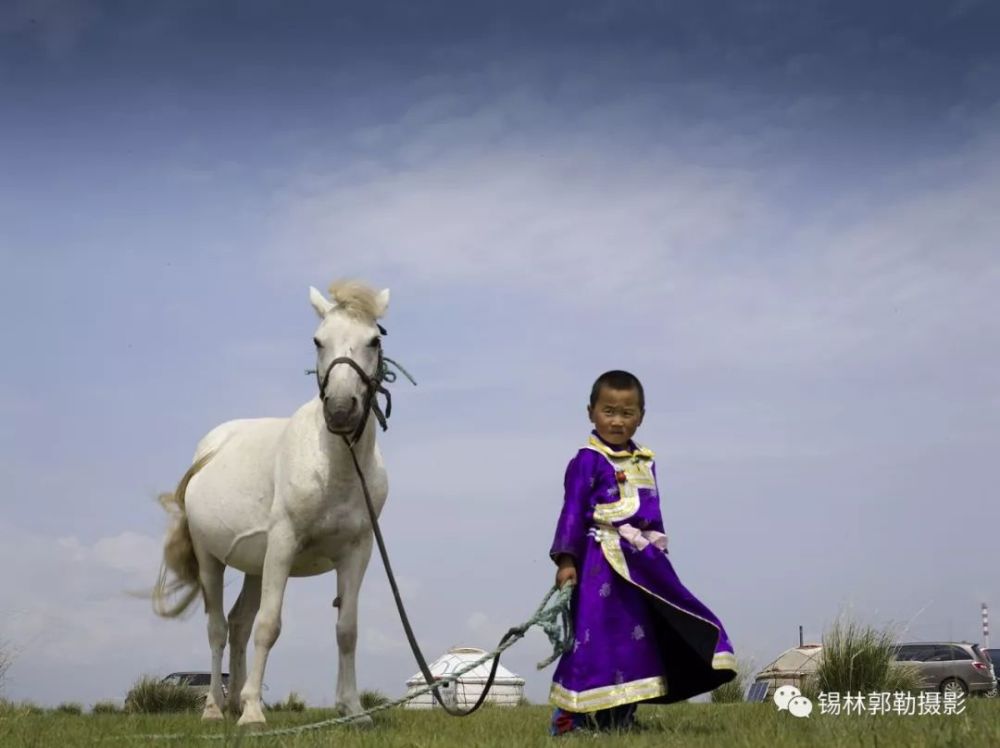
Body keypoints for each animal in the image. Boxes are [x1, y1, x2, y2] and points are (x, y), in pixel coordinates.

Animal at [154, 280, 392, 724]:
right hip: (212, 559)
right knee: (218, 629)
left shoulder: (358, 551)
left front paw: (353, 710)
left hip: (255, 567)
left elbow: (346, 629)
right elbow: (269, 625)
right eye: (318, 340)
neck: (334, 467)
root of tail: (208, 450)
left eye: (374, 340)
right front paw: (252, 714)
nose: (340, 410)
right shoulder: (283, 543)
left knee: (238, 624)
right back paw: (216, 708)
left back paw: (233, 699)